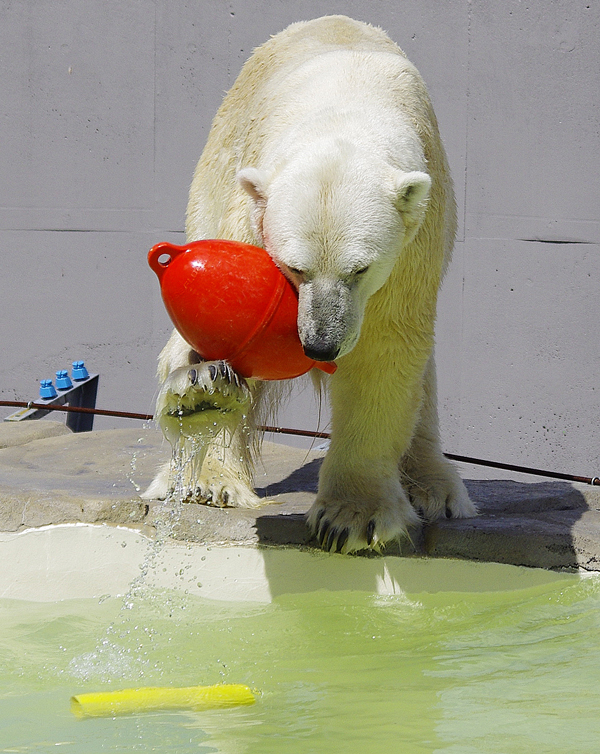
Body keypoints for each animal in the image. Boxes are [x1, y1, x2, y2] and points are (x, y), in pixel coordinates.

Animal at [143, 14, 476, 548]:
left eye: (359, 269)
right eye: (294, 267)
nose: (320, 345)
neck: (345, 104)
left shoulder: (417, 235)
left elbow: (386, 345)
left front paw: (352, 517)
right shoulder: (249, 203)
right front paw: (203, 387)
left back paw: (436, 489)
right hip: (214, 163)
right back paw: (203, 468)